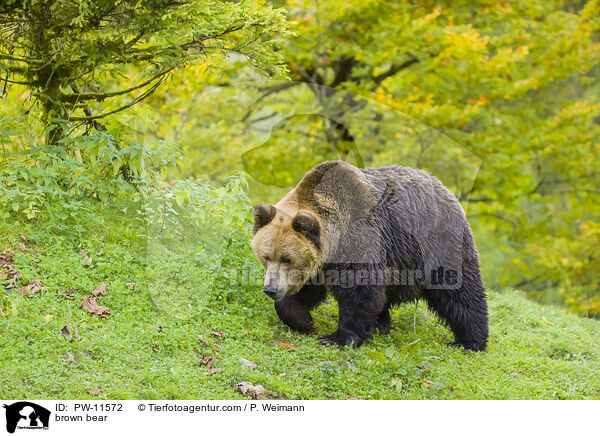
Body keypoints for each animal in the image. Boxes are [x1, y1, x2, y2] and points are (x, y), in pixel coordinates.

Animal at [250, 160, 488, 350]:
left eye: (287, 259)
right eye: (266, 257)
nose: (270, 289)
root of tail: (447, 191)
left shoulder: (360, 239)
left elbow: (361, 290)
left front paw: (336, 337)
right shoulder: (322, 262)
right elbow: (305, 291)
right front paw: (304, 320)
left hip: (437, 244)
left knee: (459, 291)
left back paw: (469, 341)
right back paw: (382, 323)